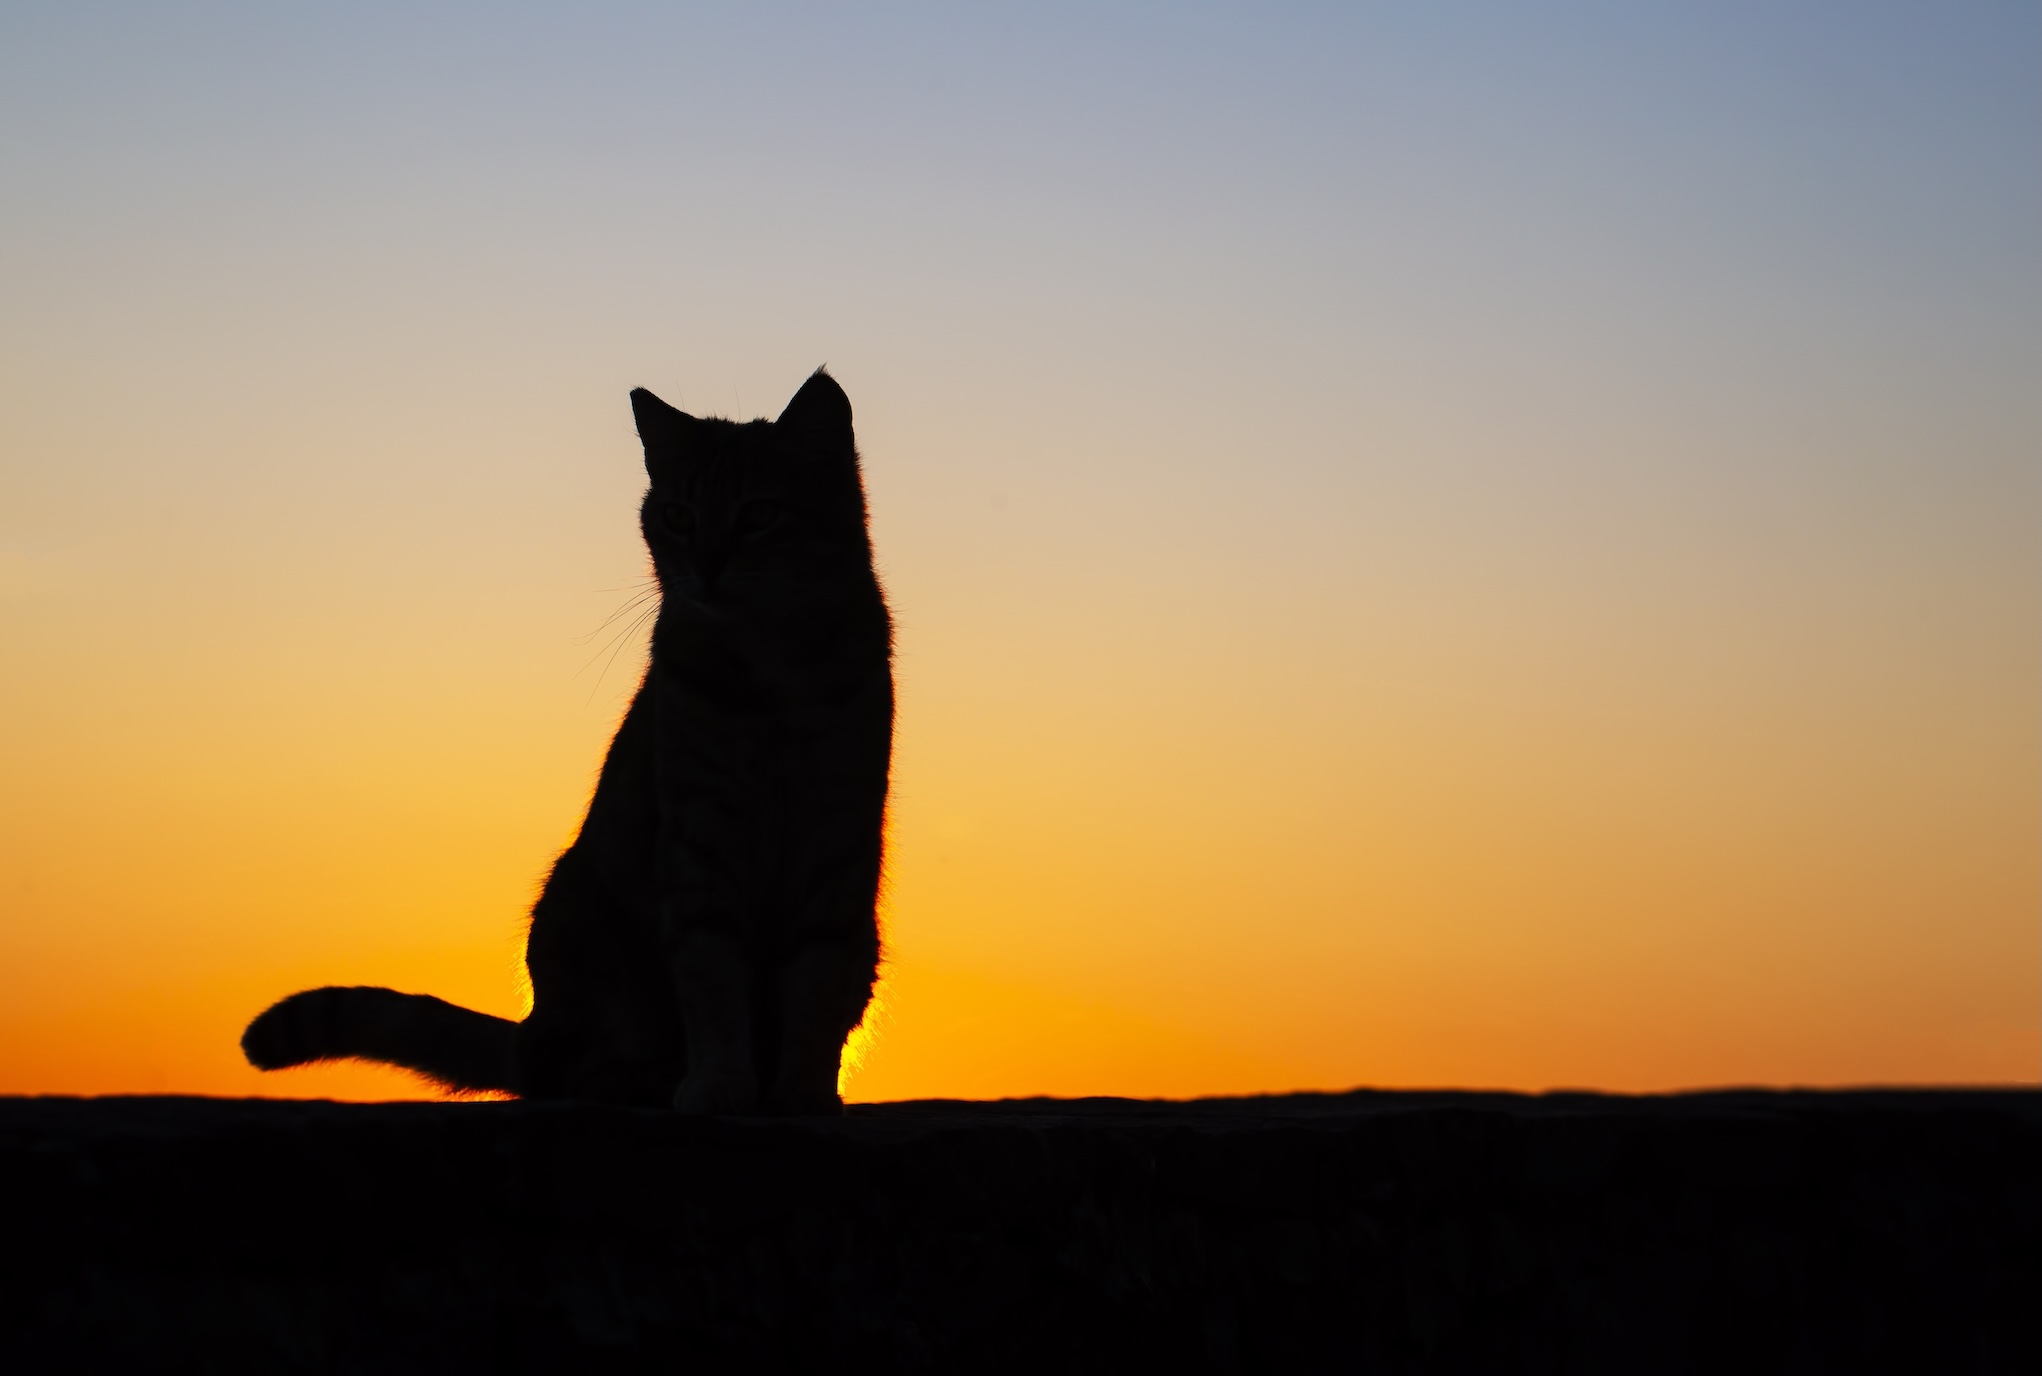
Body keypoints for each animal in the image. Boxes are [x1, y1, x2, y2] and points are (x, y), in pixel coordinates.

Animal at [234, 367, 890, 1110]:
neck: (773, 673)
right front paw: (720, 1085)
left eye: (758, 514)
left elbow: (817, 982)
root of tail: (529, 1031)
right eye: (678, 517)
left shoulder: (838, 844)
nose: (705, 566)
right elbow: (713, 977)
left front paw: (802, 1092)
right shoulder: (698, 844)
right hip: (583, 932)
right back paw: (634, 1081)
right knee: (563, 1068)